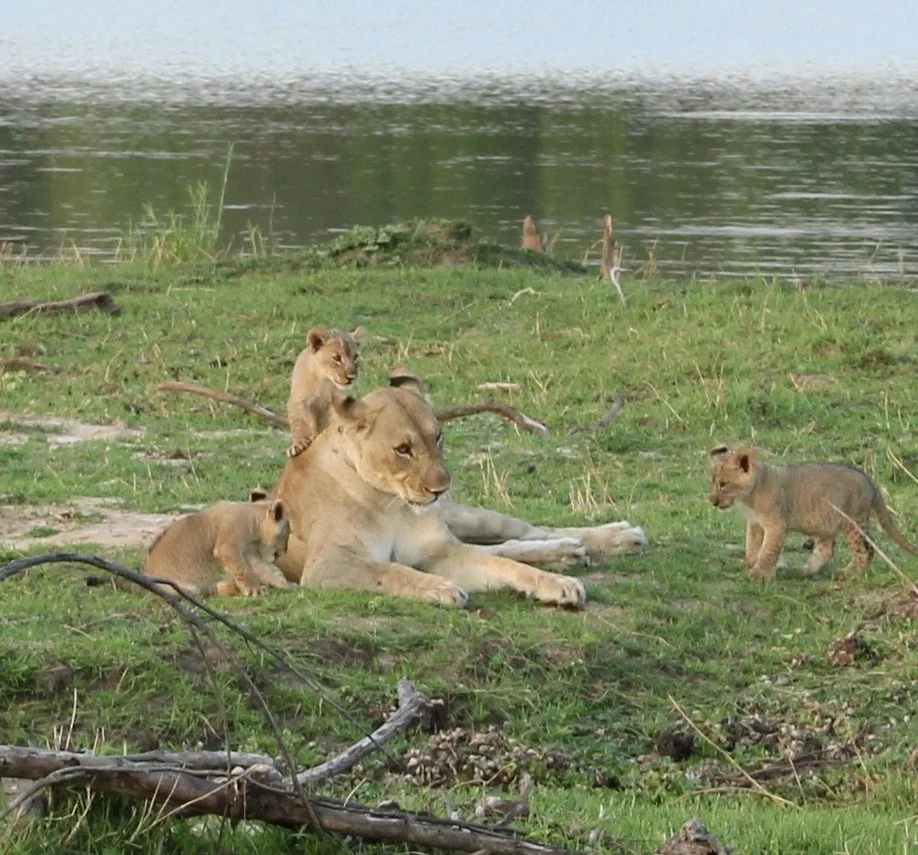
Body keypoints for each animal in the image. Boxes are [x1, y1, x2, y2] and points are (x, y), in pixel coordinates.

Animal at [141, 500, 293, 596]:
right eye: (288, 532)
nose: (284, 551)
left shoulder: (250, 553)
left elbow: (265, 570)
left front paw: (286, 584)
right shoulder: (228, 545)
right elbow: (243, 570)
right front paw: (255, 590)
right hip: (181, 589)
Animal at [286, 325, 366, 458]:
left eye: (355, 357)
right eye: (337, 358)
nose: (352, 377)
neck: (324, 381)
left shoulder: (337, 401)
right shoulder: (298, 399)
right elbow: (299, 421)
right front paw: (299, 444)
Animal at [708, 444, 918, 582]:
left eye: (723, 484)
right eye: (712, 482)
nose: (712, 501)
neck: (749, 497)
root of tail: (868, 479)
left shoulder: (776, 524)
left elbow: (768, 550)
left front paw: (760, 574)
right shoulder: (755, 524)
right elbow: (751, 546)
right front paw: (751, 564)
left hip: (853, 521)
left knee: (867, 550)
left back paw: (847, 574)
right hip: (827, 525)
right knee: (825, 552)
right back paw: (801, 571)